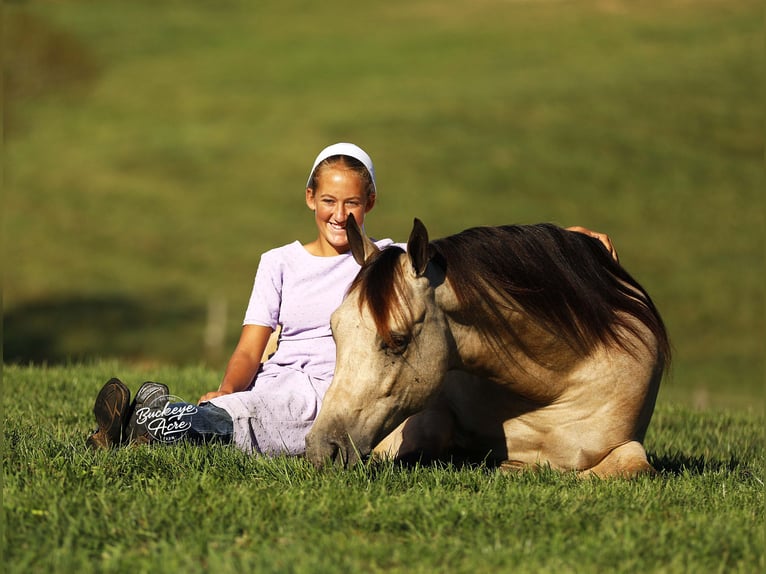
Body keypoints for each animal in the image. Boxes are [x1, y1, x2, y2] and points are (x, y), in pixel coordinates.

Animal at [305, 216, 671, 477]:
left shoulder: (626, 445)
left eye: (398, 340)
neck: (555, 385)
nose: (323, 447)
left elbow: (635, 470)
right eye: (334, 331)